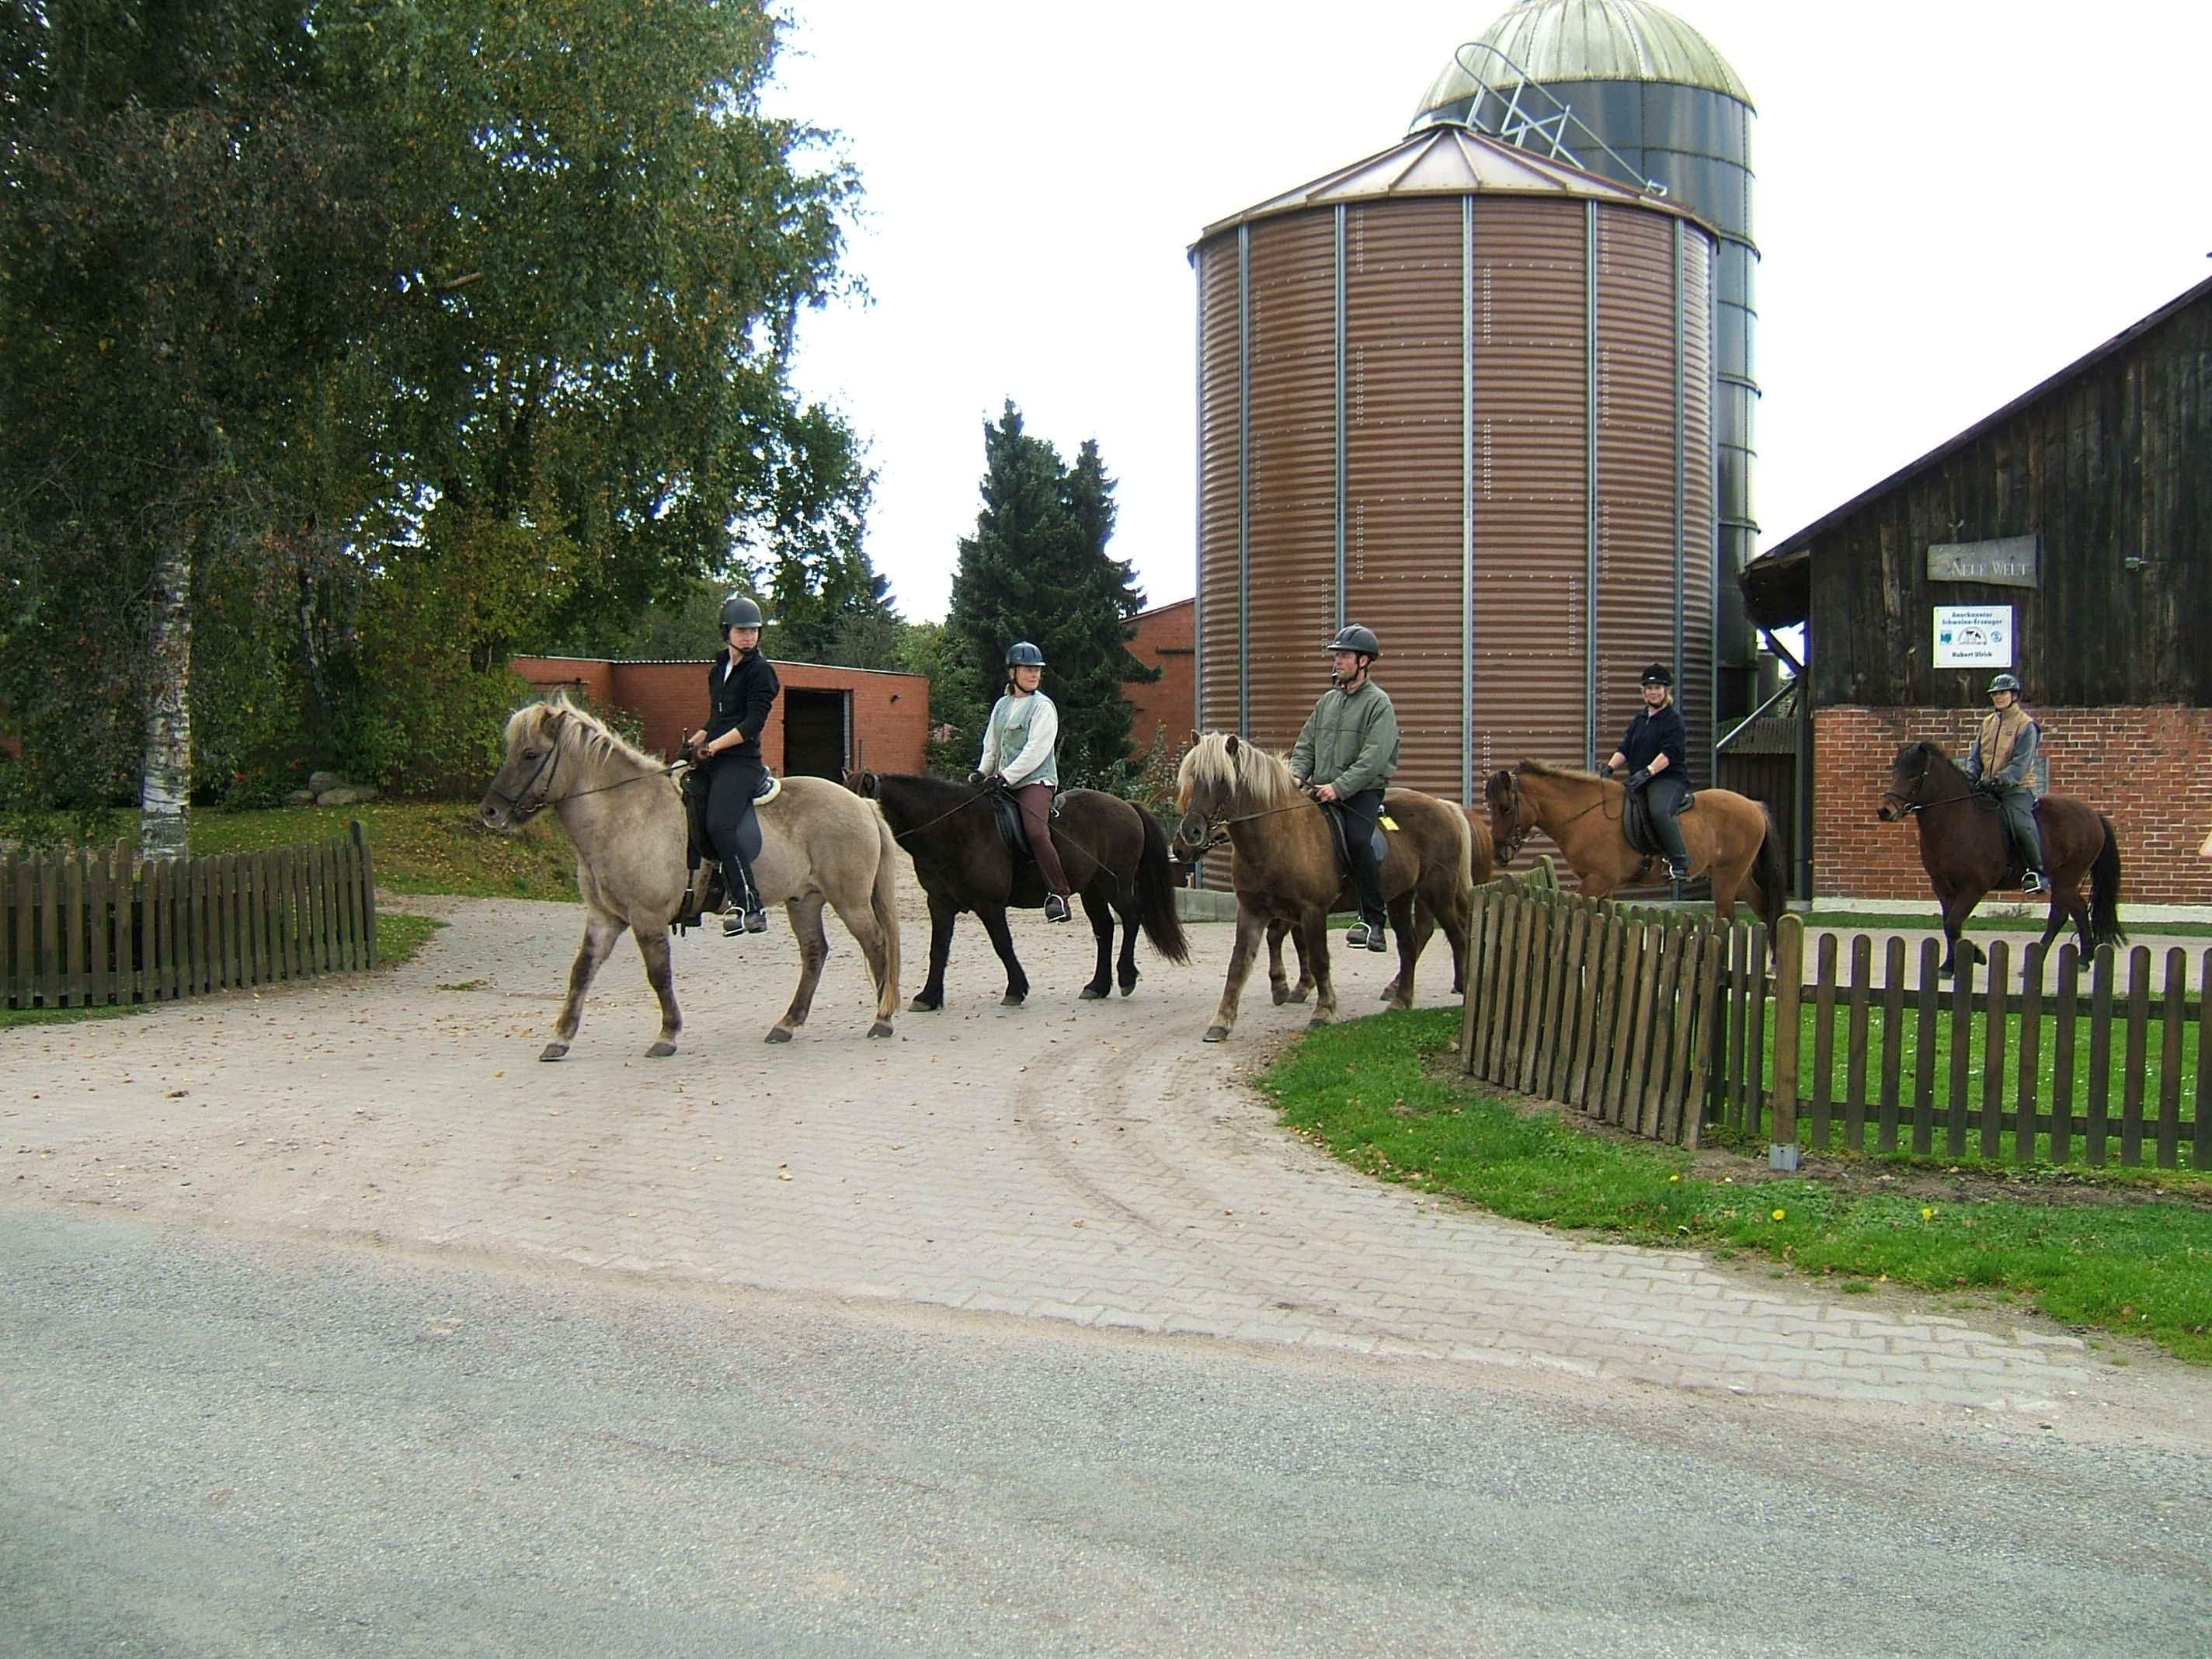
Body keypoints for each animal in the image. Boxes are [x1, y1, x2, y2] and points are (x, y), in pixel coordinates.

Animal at [480, 698, 902, 1057]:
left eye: (531, 755)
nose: (490, 811)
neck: (626, 815)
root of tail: (861, 804)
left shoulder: (647, 917)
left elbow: (659, 974)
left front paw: (667, 1035)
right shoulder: (604, 917)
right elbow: (581, 972)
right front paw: (560, 1039)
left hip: (850, 900)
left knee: (876, 943)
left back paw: (883, 1017)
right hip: (804, 901)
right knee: (815, 953)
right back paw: (787, 1024)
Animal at [844, 770, 1194, 1013]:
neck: (954, 829)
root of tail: (1127, 806)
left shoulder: (990, 904)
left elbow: (1002, 945)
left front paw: (1016, 989)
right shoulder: (940, 904)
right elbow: (938, 950)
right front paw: (928, 997)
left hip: (1115, 884)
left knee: (1132, 918)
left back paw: (1125, 978)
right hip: (1091, 889)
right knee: (1104, 929)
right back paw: (1097, 985)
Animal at [1167, 734, 1477, 1044]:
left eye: (1221, 780)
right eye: (1193, 777)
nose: (1190, 834)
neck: (1278, 836)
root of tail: (1443, 806)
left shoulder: (1312, 911)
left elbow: (1318, 958)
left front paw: (1323, 1012)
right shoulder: (1253, 911)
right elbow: (1239, 964)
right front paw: (1222, 1022)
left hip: (1437, 893)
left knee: (1457, 936)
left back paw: (1462, 990)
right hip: (1401, 897)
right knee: (1408, 944)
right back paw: (1401, 1001)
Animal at [1477, 765, 1787, 937]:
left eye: (1506, 807)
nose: (1500, 854)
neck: (1584, 815)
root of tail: (1753, 805)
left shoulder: (1598, 880)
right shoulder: (1605, 884)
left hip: (1727, 875)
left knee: (1726, 916)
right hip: (1738, 875)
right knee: (1763, 907)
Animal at [1876, 739, 2114, 973]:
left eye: (1913, 775)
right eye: (1895, 772)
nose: (1884, 811)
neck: (1960, 821)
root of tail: (2093, 815)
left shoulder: (1973, 887)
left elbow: (1953, 924)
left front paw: (1976, 955)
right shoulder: (1943, 888)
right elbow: (1948, 925)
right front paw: (1949, 965)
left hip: (2066, 879)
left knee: (2058, 916)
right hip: (2066, 882)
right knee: (2079, 909)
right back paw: (2083, 959)